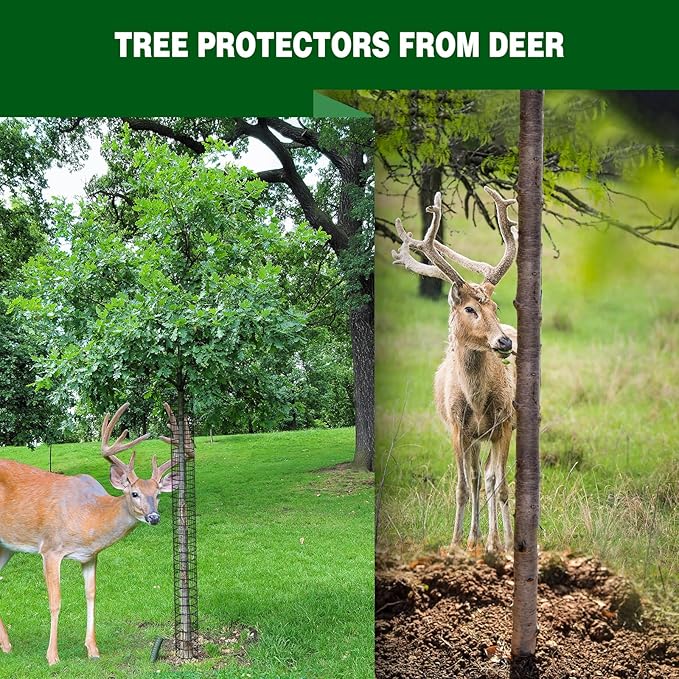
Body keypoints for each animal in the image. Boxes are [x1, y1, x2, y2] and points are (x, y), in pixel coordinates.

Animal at [0, 402, 176, 665]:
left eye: (158, 495)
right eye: (134, 493)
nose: (154, 517)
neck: (89, 515)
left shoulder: (90, 556)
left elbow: (91, 595)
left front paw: (93, 649)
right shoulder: (50, 548)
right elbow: (55, 602)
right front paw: (52, 656)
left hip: (6, 547)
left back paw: (7, 645)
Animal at [392, 186, 518, 554]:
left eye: (495, 306)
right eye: (470, 309)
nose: (504, 342)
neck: (476, 399)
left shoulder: (503, 424)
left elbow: (501, 486)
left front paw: (503, 544)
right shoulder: (457, 429)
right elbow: (463, 486)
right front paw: (456, 541)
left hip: (502, 428)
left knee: (491, 478)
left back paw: (495, 540)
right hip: (474, 438)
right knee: (477, 478)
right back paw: (476, 537)